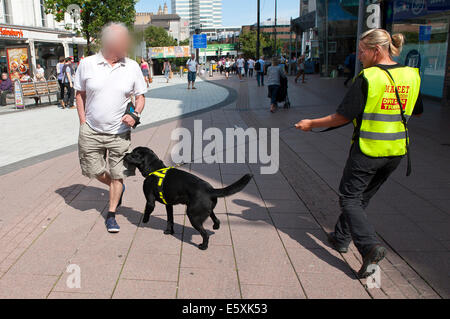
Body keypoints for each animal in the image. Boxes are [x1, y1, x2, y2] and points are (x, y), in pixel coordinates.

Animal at [123, 147, 253, 250]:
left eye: (134, 154)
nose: (125, 154)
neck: (155, 169)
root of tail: (210, 190)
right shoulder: (169, 205)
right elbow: (170, 220)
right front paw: (169, 231)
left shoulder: (150, 201)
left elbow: (147, 211)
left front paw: (144, 221)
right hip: (206, 211)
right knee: (216, 219)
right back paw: (215, 226)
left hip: (193, 216)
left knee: (205, 234)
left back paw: (203, 246)